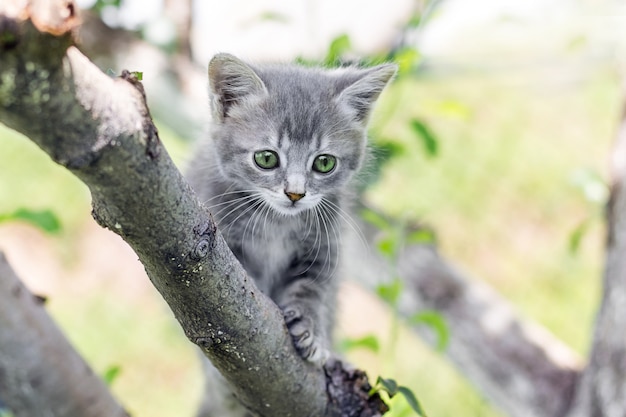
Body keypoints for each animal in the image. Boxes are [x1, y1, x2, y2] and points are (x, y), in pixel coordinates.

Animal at [185, 53, 394, 414]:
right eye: (266, 158)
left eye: (324, 163)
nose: (295, 194)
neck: (277, 222)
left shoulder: (323, 249)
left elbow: (312, 291)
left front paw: (311, 332)